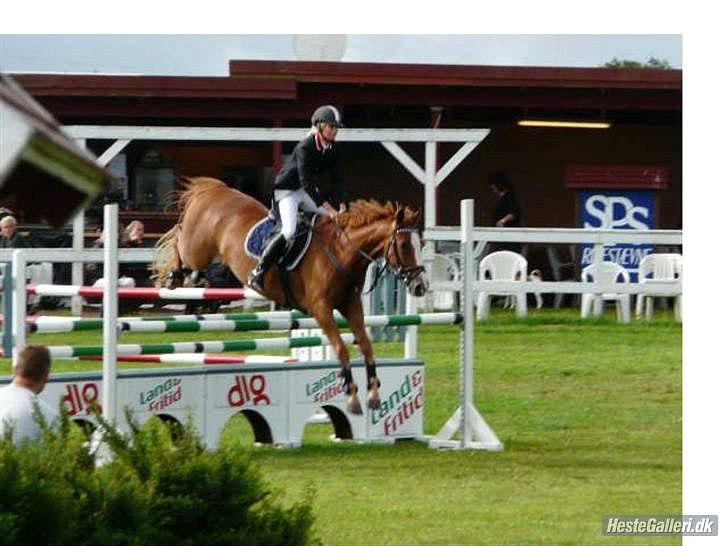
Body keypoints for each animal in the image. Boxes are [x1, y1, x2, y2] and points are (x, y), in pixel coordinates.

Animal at [153, 177, 426, 412]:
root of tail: (215, 190)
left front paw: (373, 394)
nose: (420, 287)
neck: (342, 251)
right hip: (197, 250)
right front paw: (351, 397)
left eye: (421, 244)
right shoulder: (321, 309)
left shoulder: (351, 304)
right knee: (179, 237)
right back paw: (172, 275)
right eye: (403, 245)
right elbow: (341, 349)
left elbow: (367, 346)